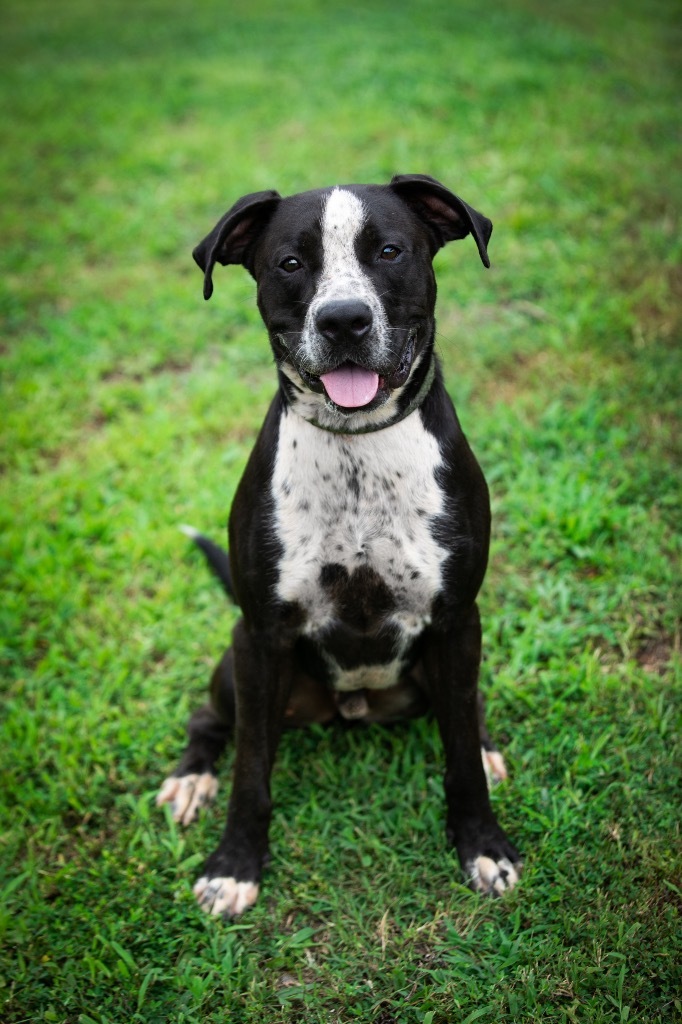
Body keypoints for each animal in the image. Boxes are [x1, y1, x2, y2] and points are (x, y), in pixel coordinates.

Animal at [157, 172, 520, 917]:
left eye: (389, 251)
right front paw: (235, 865)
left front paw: (482, 843)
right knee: (210, 719)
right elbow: (252, 771)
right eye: (291, 263)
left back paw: (487, 745)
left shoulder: (456, 622)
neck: (359, 448)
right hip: (238, 667)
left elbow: (460, 759)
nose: (344, 320)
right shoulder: (261, 636)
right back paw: (192, 776)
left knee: (464, 711)